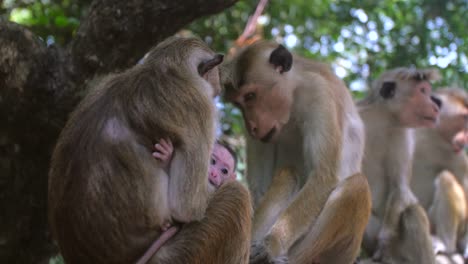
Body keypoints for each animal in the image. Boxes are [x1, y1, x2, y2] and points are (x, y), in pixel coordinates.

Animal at [47, 37, 252, 264]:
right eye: (213, 90)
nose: (215, 174)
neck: (163, 69)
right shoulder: (200, 105)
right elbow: (187, 208)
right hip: (178, 256)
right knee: (237, 195)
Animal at [225, 40, 372, 264]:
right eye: (238, 104)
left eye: (250, 96)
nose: (251, 127)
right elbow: (261, 186)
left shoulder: (317, 92)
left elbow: (323, 177)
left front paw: (271, 245)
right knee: (287, 173)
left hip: (331, 251)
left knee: (356, 186)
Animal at [410, 86, 468, 260]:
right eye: (464, 117)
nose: (466, 137)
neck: (431, 136)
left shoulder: (458, 158)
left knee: (446, 178)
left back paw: (445, 244)